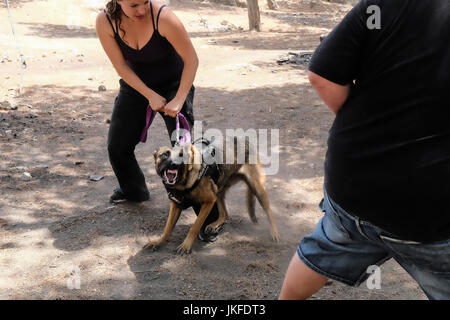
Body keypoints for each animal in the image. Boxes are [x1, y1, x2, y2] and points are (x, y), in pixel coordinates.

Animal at [144, 136, 280, 254]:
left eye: (181, 155)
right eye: (164, 155)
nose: (174, 163)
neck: (183, 183)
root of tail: (245, 141)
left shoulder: (208, 202)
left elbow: (194, 227)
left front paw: (186, 245)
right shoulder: (176, 205)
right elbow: (167, 228)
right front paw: (159, 241)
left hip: (257, 189)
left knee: (269, 212)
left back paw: (275, 233)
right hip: (218, 191)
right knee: (225, 214)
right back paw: (215, 224)